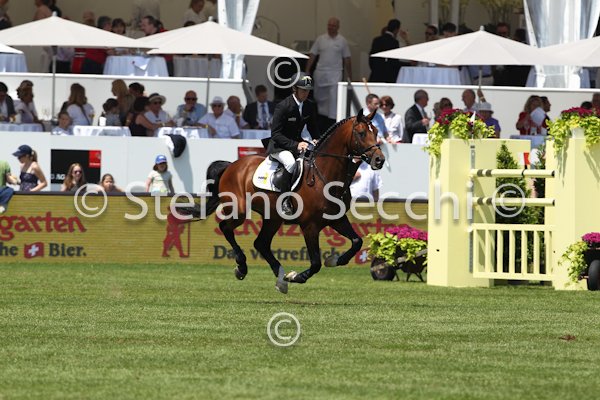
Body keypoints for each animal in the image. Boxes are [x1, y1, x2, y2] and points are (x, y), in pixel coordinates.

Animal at [200, 109, 385, 294]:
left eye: (376, 132)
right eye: (361, 133)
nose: (380, 160)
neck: (324, 176)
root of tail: (231, 166)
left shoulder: (337, 219)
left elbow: (356, 242)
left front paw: (333, 260)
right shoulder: (310, 226)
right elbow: (316, 263)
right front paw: (296, 277)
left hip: (273, 218)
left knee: (261, 243)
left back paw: (280, 279)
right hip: (239, 210)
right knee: (226, 228)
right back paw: (242, 267)